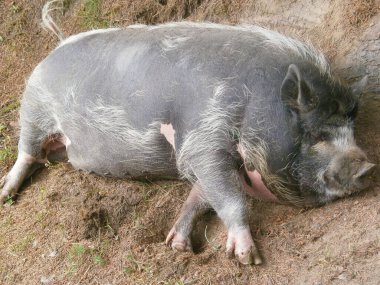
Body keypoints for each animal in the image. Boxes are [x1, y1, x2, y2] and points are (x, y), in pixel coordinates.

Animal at [0, 2, 374, 264]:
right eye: (316, 135)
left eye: (351, 129)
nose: (368, 166)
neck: (252, 104)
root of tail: (56, 46)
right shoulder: (203, 139)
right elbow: (229, 198)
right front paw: (247, 258)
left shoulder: (203, 157)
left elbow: (201, 195)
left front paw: (176, 246)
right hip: (34, 109)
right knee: (26, 152)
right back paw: (6, 194)